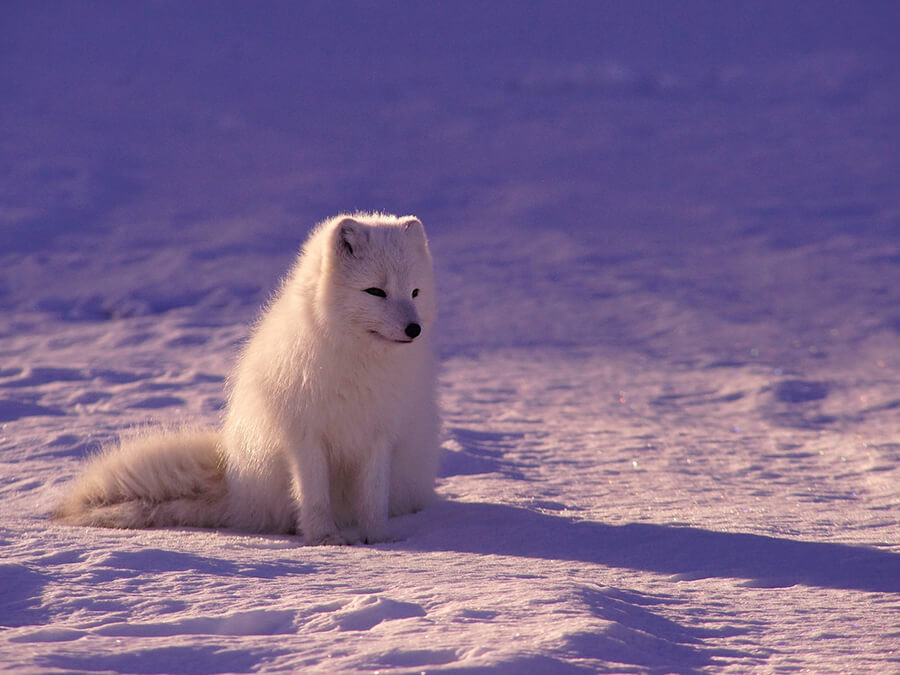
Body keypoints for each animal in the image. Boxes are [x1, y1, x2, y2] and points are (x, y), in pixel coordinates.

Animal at [52, 214, 440, 548]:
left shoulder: (379, 434)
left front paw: (377, 537)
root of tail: (235, 486)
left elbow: (373, 496)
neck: (358, 362)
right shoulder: (304, 435)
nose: (414, 329)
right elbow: (314, 495)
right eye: (375, 291)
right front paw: (325, 538)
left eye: (415, 292)